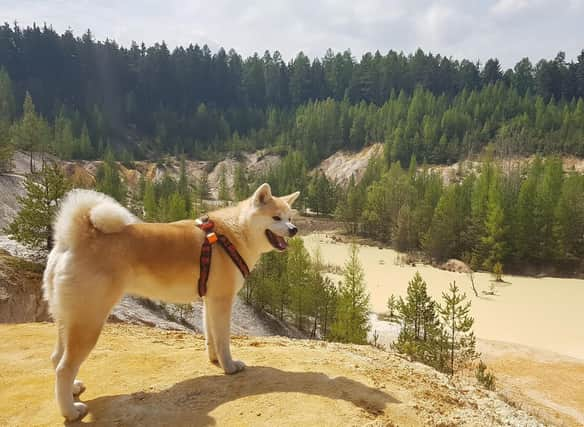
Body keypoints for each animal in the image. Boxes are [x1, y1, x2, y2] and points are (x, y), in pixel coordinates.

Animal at [44, 184, 302, 422]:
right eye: (276, 217)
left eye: (290, 217)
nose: (294, 229)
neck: (233, 233)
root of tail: (75, 238)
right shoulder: (222, 299)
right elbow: (223, 340)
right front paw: (229, 367)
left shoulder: (210, 300)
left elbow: (211, 337)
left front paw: (215, 360)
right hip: (89, 321)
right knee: (64, 368)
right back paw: (71, 411)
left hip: (68, 319)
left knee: (57, 358)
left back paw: (73, 389)